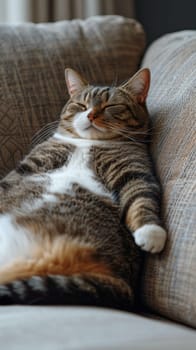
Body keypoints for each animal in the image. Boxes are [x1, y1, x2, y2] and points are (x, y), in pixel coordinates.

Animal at [0, 67, 166, 308]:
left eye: (110, 105)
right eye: (81, 105)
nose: (90, 115)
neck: (89, 143)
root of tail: (121, 281)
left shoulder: (134, 170)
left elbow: (141, 197)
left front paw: (151, 232)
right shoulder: (30, 165)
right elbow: (7, 183)